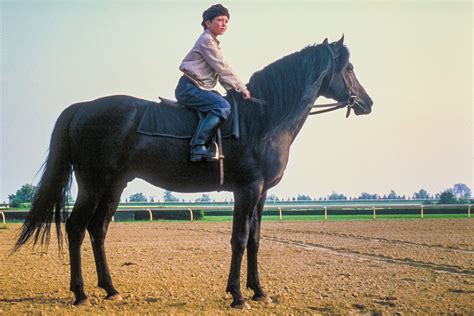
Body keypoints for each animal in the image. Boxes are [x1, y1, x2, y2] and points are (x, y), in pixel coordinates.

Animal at [14, 37, 372, 308]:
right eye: (350, 68)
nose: (367, 103)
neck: (263, 120)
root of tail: (81, 108)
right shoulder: (246, 190)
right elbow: (239, 239)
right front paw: (238, 295)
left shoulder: (261, 193)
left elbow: (255, 240)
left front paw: (259, 291)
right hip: (93, 183)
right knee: (75, 228)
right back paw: (81, 293)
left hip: (114, 185)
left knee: (97, 229)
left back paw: (110, 289)